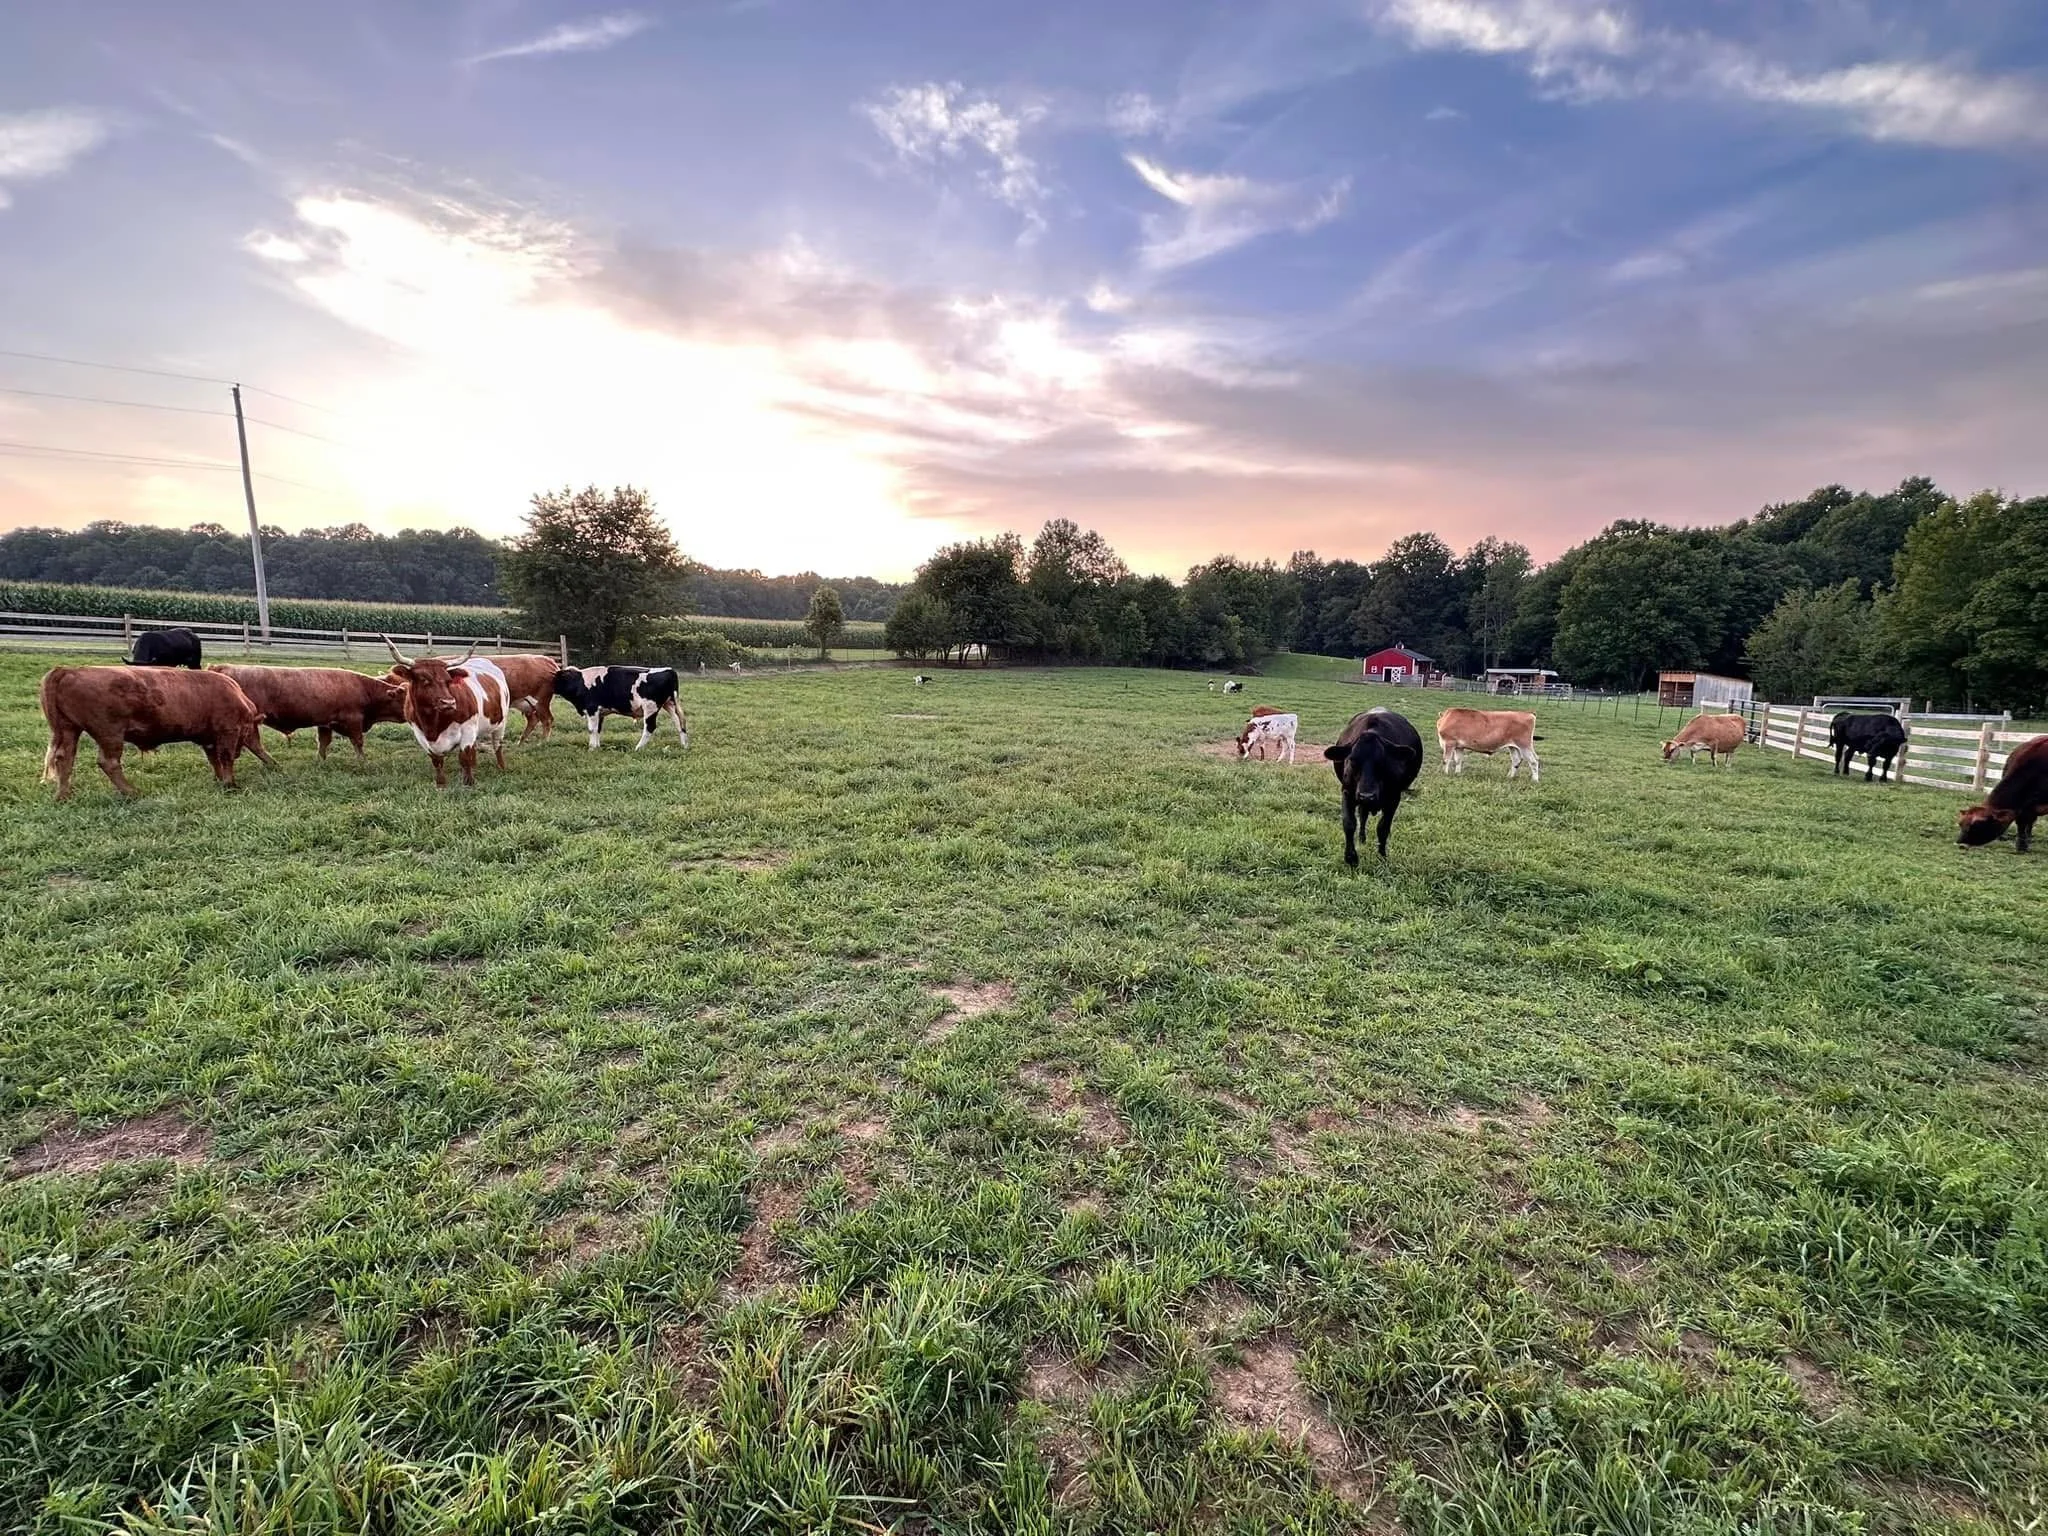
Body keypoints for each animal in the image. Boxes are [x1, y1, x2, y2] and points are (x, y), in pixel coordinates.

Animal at [40, 664, 272, 800]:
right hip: (109, 733)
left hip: (69, 729)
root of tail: (67, 670)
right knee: (108, 762)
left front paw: (220, 779)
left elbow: (215, 759)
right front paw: (230, 784)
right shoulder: (227, 731)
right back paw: (132, 792)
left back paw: (63, 795)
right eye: (248, 731)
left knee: (64, 759)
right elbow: (225, 758)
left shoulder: (209, 738)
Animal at [211, 664, 407, 760]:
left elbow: (323, 742)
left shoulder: (325, 722)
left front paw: (320, 761)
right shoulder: (353, 720)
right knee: (254, 743)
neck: (364, 688)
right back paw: (273, 765)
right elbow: (358, 742)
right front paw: (363, 762)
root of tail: (222, 667)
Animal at [381, 636, 509, 787]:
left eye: (448, 681)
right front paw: (441, 783)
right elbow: (437, 760)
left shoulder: (468, 728)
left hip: (501, 723)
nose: (449, 702)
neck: (433, 722)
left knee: (497, 745)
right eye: (424, 680)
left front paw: (469, 782)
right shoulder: (420, 734)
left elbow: (464, 757)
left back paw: (501, 767)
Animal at [551, 665, 689, 751]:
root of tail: (669, 670)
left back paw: (638, 748)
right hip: (669, 704)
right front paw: (597, 747)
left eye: (557, 678)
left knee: (650, 727)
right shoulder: (600, 712)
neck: (581, 682)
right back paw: (684, 745)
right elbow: (598, 729)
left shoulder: (592, 709)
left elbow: (592, 729)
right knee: (679, 723)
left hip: (650, 707)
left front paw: (591, 748)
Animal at [1323, 708, 1423, 865]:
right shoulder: (1347, 792)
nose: (1367, 795)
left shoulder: (1394, 798)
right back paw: (1362, 839)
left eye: (1383, 761)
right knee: (1363, 815)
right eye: (1352, 760)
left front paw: (1382, 855)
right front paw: (1351, 857)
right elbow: (1349, 823)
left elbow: (1383, 827)